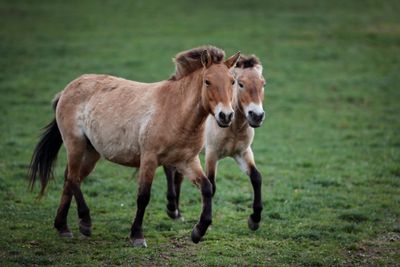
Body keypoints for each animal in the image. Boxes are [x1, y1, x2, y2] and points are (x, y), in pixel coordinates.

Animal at [28, 45, 241, 247]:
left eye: (232, 81)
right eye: (207, 81)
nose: (226, 116)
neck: (175, 111)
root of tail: (67, 90)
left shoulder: (186, 161)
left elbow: (207, 188)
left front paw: (198, 232)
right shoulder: (149, 159)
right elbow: (143, 196)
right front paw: (137, 236)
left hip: (91, 152)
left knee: (72, 179)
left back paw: (62, 227)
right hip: (75, 144)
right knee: (72, 178)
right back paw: (85, 223)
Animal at [162, 54, 266, 230]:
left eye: (263, 84)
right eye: (240, 84)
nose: (256, 116)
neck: (233, 127)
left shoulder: (243, 152)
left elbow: (256, 177)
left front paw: (254, 220)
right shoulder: (212, 154)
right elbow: (212, 184)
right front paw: (205, 225)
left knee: (178, 176)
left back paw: (177, 213)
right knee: (169, 170)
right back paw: (172, 209)